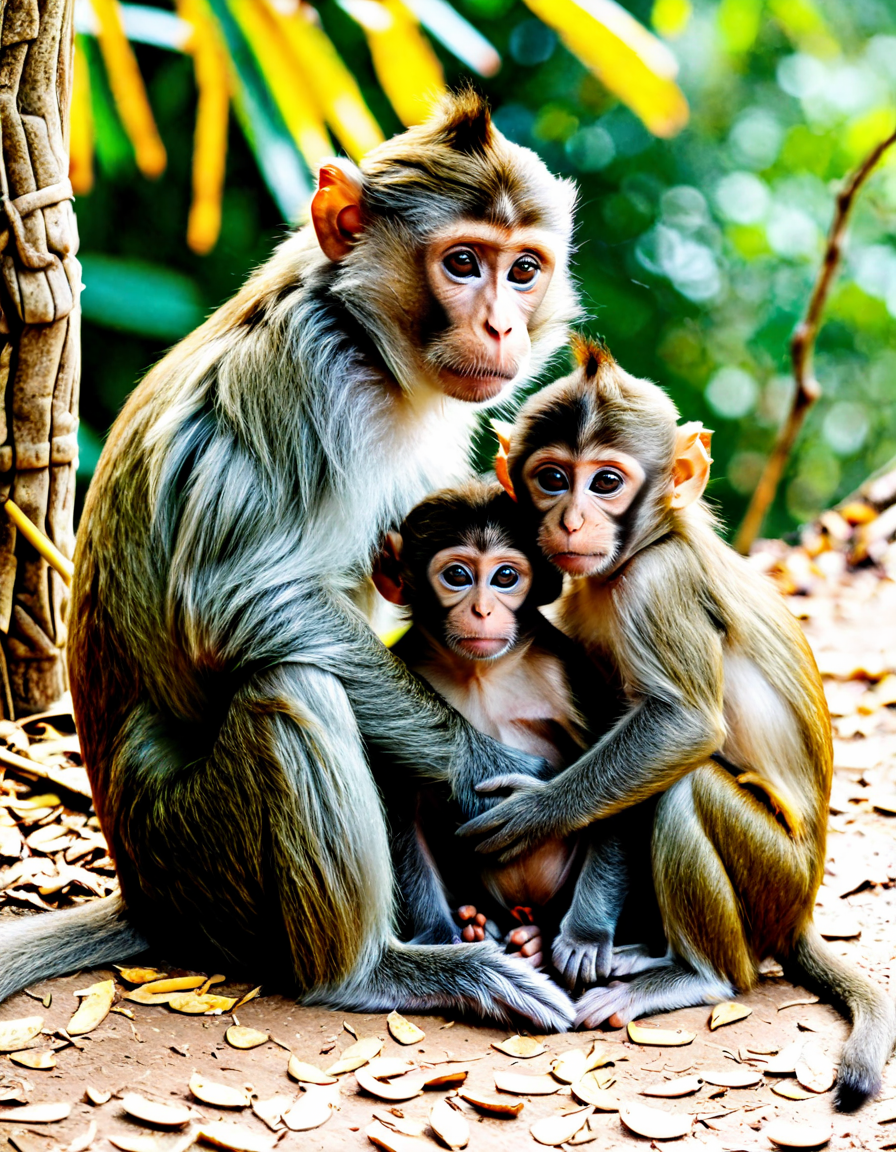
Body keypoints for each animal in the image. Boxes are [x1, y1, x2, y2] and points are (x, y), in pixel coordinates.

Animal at [0, 92, 583, 1031]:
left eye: (524, 269)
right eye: (463, 263)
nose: (500, 324)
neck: (369, 344)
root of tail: (146, 893)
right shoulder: (310, 377)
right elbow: (232, 600)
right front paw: (492, 776)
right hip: (202, 860)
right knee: (291, 686)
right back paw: (377, 971)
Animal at [372, 479, 655, 985]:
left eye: (505, 577)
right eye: (457, 575)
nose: (482, 610)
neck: (480, 672)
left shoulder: (568, 669)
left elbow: (615, 789)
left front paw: (585, 939)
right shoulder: (407, 664)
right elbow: (402, 811)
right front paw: (440, 936)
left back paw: (543, 939)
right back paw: (481, 925)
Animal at [460, 336, 896, 1107]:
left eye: (606, 482)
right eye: (552, 478)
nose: (571, 521)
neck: (639, 550)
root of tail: (801, 913)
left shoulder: (657, 587)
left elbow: (683, 729)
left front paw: (537, 815)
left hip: (773, 878)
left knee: (686, 789)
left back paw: (694, 974)